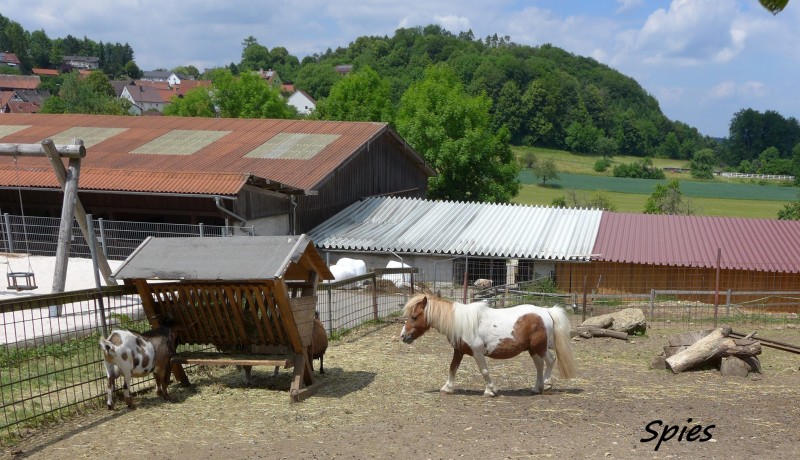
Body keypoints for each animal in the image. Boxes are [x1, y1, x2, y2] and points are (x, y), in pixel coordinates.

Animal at [400, 294, 576, 396]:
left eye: (414, 317)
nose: (403, 336)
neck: (462, 322)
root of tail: (546, 311)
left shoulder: (477, 352)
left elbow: (484, 370)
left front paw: (490, 390)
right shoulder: (458, 351)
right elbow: (452, 368)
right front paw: (447, 387)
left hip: (540, 347)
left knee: (550, 361)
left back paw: (547, 384)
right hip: (532, 349)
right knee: (539, 365)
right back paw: (536, 387)